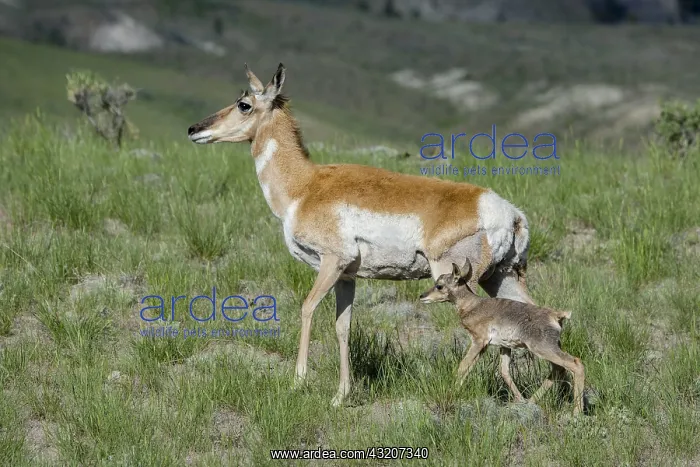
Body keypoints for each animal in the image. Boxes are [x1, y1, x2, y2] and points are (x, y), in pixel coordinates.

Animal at [187, 63, 535, 407]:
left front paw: (298, 382)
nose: (193, 129)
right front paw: (340, 395)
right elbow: (343, 326)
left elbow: (307, 308)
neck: (305, 186)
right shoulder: (346, 276)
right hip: (501, 277)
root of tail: (510, 213)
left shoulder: (332, 261)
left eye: (244, 104)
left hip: (457, 281)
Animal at [419, 262, 585, 415]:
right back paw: (531, 401)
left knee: (575, 364)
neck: (472, 305)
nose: (422, 296)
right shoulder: (499, 347)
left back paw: (576, 413)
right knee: (559, 369)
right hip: (549, 349)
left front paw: (453, 390)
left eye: (439, 286)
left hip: (543, 349)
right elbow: (502, 371)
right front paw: (520, 399)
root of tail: (556, 315)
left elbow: (463, 366)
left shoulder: (478, 341)